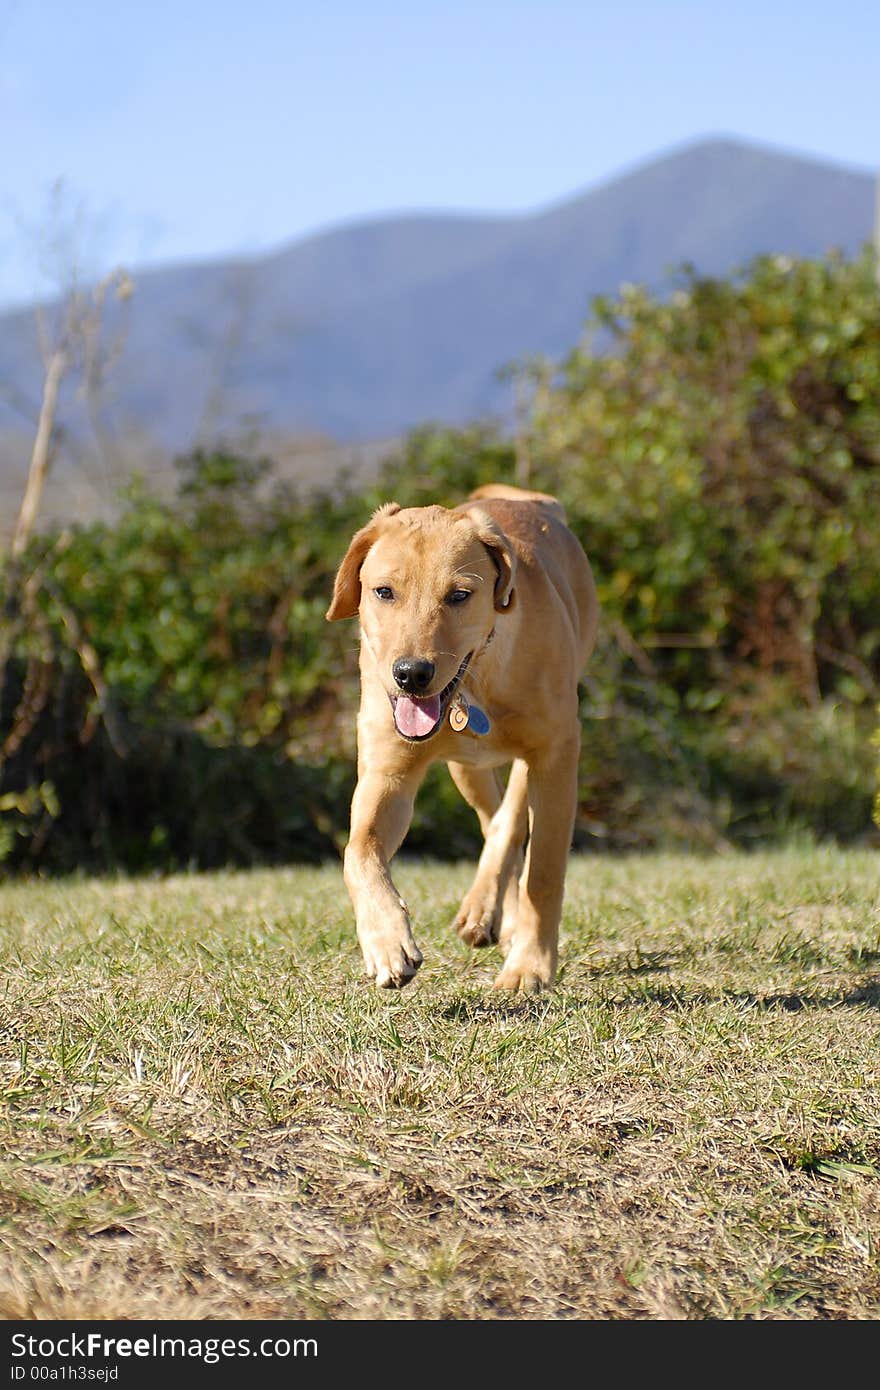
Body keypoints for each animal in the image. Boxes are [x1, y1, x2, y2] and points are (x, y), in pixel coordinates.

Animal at [323, 483, 597, 995]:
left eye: (459, 595)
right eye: (384, 591)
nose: (411, 674)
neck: (474, 682)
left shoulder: (556, 752)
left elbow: (545, 871)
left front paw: (530, 967)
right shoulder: (389, 773)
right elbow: (358, 851)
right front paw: (387, 943)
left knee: (510, 820)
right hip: (464, 771)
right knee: (495, 821)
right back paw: (488, 913)